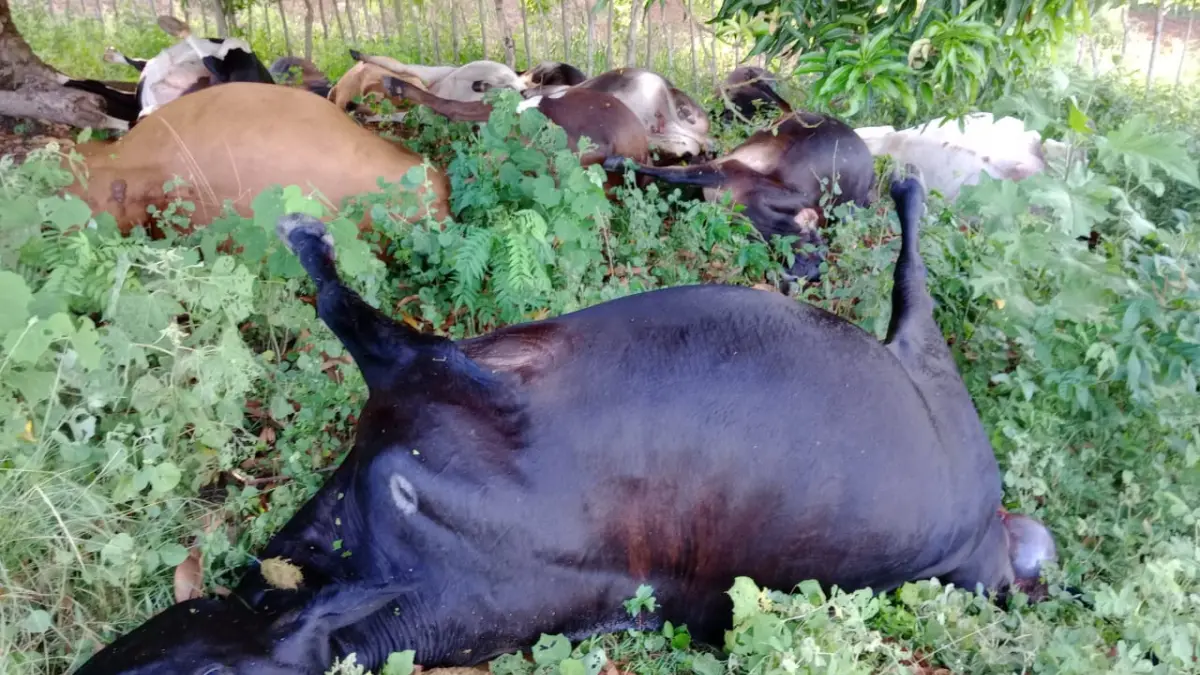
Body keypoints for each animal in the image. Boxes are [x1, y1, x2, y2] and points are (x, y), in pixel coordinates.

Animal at [70, 172, 1058, 675]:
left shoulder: (433, 378)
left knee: (913, 270)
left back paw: (908, 182)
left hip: (926, 365)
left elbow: (342, 303)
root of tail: (991, 538)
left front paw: (307, 238)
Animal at [604, 111, 875, 284]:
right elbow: (676, 173)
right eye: (811, 240)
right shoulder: (726, 172)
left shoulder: (725, 174)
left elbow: (675, 173)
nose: (815, 269)